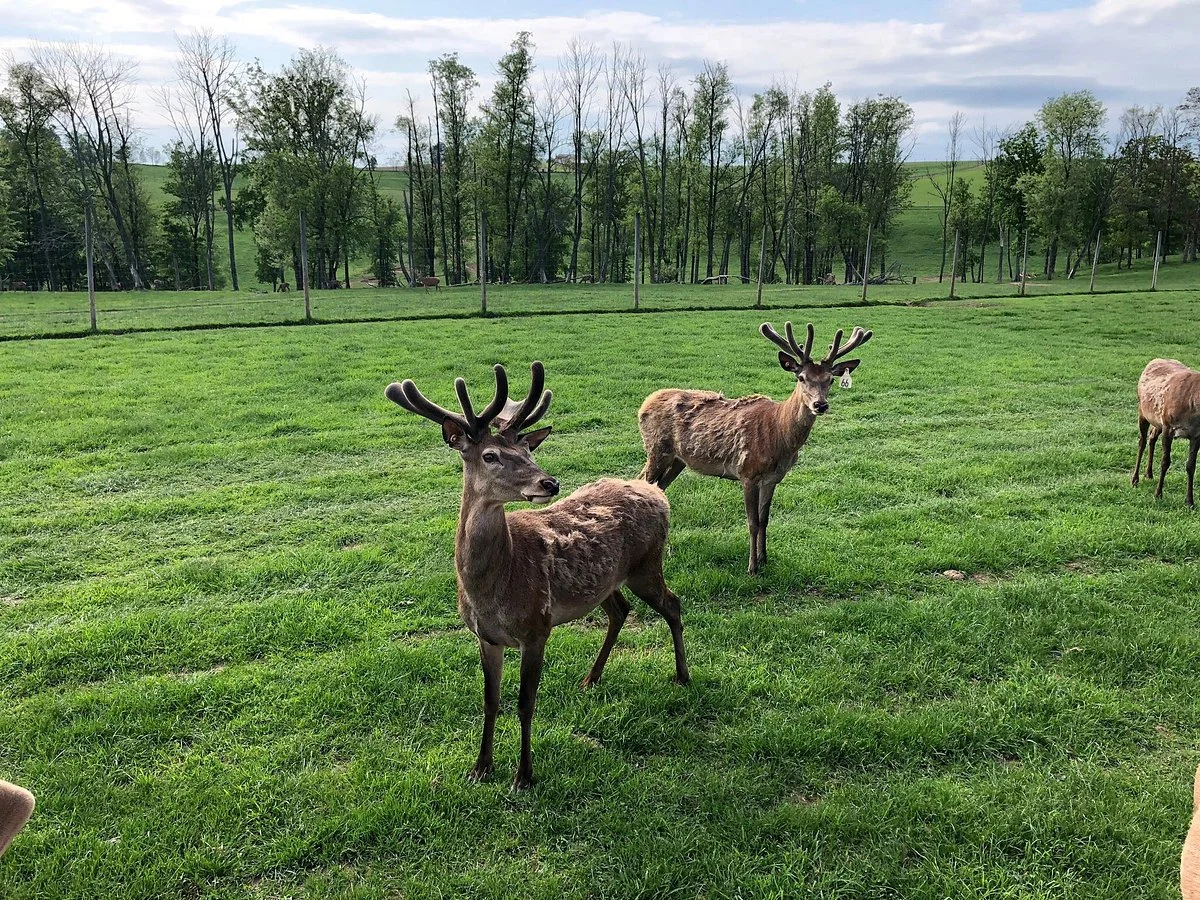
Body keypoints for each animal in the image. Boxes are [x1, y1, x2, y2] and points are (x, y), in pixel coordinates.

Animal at [385, 361, 690, 790]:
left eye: (528, 450)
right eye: (491, 455)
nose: (550, 482)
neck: (493, 586)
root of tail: (657, 493)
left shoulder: (536, 627)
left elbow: (525, 703)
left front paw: (524, 775)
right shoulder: (486, 637)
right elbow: (490, 700)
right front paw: (481, 767)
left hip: (646, 565)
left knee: (673, 605)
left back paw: (682, 676)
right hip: (605, 583)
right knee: (620, 611)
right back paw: (591, 678)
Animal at [639, 321, 872, 575]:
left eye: (830, 379)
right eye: (801, 377)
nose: (820, 405)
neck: (779, 436)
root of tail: (644, 404)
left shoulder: (773, 478)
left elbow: (764, 519)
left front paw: (764, 558)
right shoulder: (747, 472)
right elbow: (752, 522)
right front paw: (752, 567)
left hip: (678, 460)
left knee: (658, 488)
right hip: (656, 448)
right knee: (645, 482)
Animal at [1133, 359, 1200, 507]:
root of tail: (1154, 360)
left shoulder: (1197, 434)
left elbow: (1191, 465)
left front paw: (1189, 502)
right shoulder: (1168, 427)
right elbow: (1165, 461)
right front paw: (1158, 494)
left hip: (1158, 420)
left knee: (1152, 436)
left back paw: (1149, 473)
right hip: (1143, 411)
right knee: (1142, 442)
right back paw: (1135, 479)